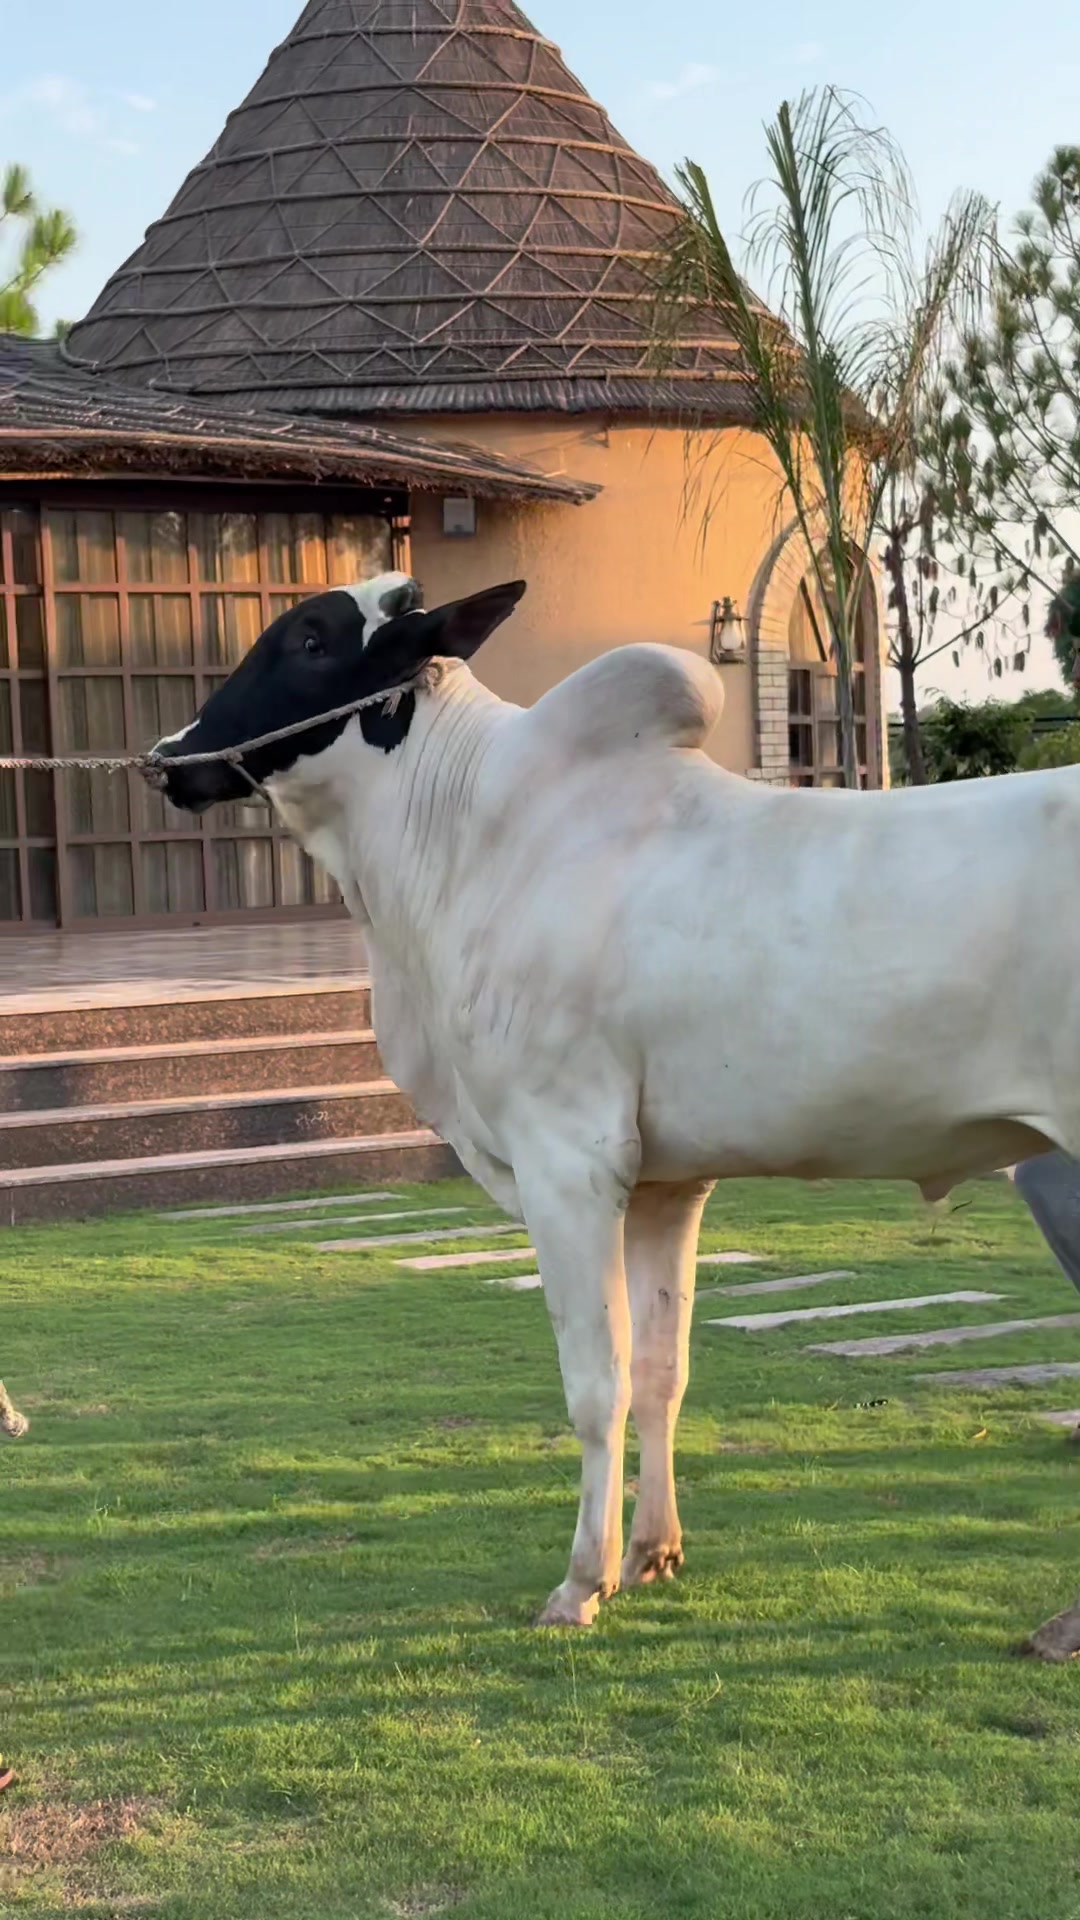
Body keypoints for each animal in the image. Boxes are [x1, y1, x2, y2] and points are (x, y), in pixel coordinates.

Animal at [149, 570, 1080, 1657]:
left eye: (307, 637)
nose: (170, 757)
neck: (459, 844)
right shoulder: (670, 1183)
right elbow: (663, 1368)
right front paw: (651, 1553)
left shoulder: (569, 1161)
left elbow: (598, 1383)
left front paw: (581, 1581)